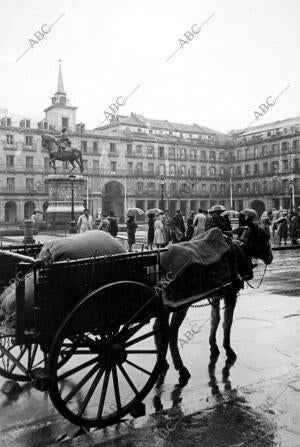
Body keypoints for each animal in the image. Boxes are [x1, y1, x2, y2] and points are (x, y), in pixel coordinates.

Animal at [156, 222, 274, 386]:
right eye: (263, 237)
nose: (271, 256)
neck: (240, 251)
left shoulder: (216, 294)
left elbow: (215, 319)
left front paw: (214, 346)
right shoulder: (230, 293)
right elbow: (227, 322)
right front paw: (228, 349)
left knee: (158, 327)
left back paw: (163, 363)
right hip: (180, 303)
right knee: (172, 332)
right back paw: (181, 368)